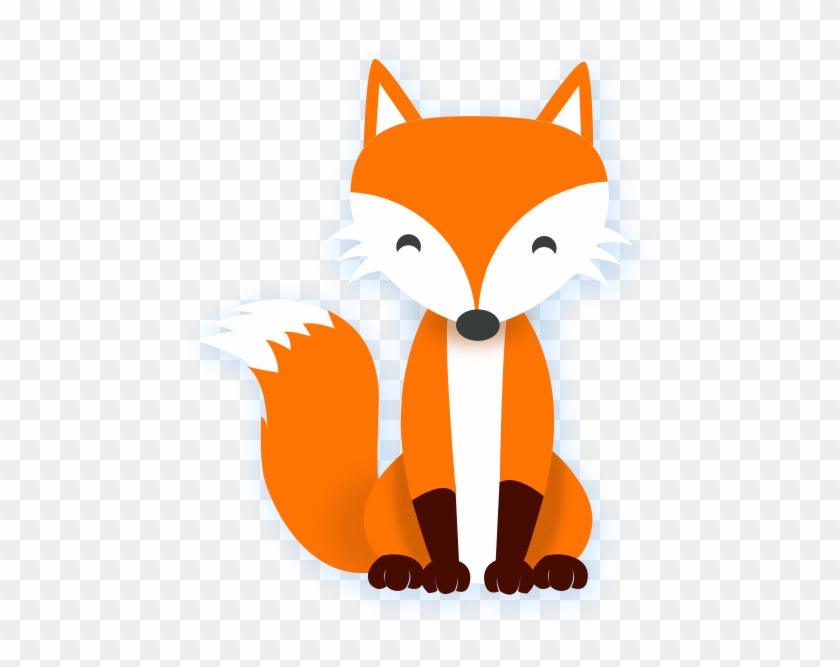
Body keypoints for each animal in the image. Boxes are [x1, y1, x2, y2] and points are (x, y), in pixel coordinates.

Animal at [203, 60, 627, 595]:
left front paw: (510, 573)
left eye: (544, 245)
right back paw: (401, 568)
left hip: (567, 486)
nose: (477, 324)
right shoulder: (426, 442)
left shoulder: (527, 440)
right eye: (409, 244)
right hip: (392, 490)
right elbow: (435, 506)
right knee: (393, 549)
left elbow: (518, 504)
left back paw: (553, 567)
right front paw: (444, 574)